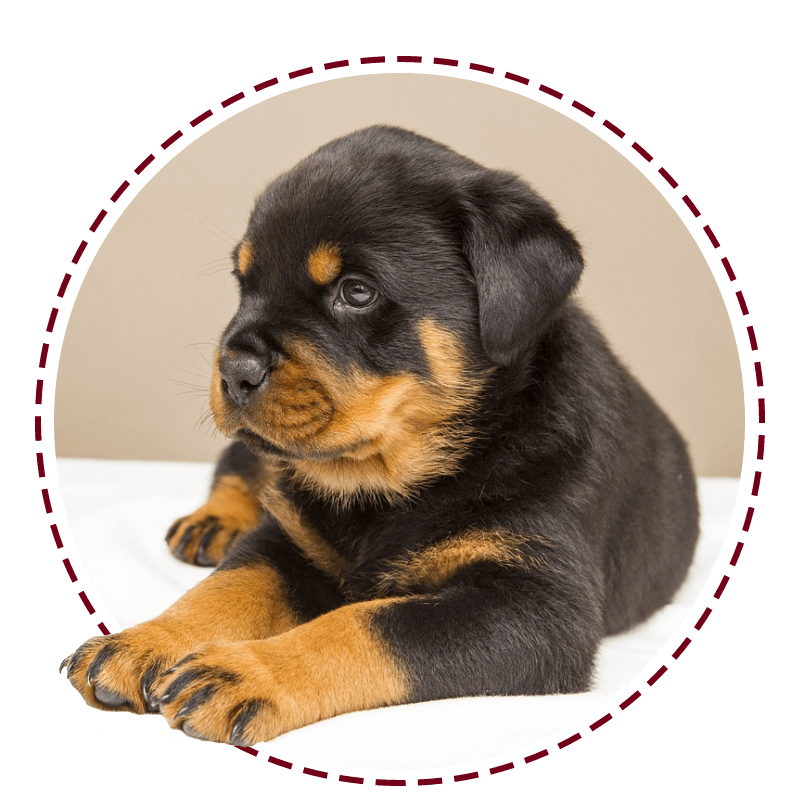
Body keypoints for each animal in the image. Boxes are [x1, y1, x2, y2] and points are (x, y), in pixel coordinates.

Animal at [64, 123, 700, 744]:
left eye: (357, 291)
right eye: (244, 284)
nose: (233, 368)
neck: (390, 479)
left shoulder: (538, 610)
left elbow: (368, 624)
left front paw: (243, 671)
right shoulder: (288, 538)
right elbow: (228, 587)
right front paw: (144, 641)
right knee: (240, 467)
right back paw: (214, 521)